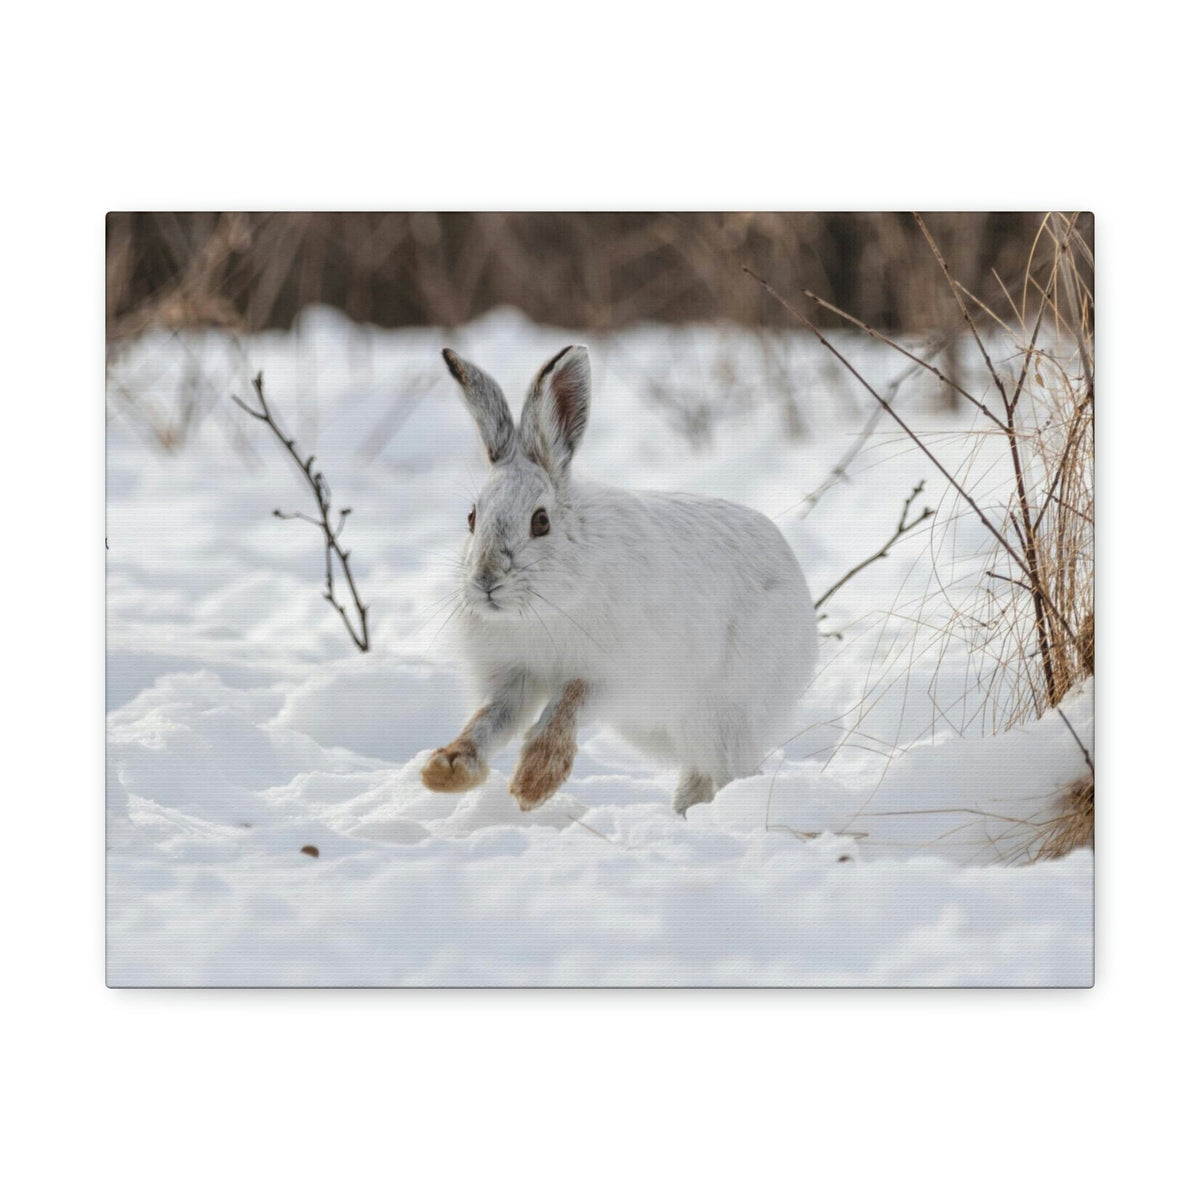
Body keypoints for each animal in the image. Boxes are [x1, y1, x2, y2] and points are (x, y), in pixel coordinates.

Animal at [420, 344, 819, 816]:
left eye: (541, 522)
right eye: (471, 518)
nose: (485, 581)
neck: (540, 608)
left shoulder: (612, 674)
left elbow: (566, 705)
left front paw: (534, 782)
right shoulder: (513, 678)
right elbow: (488, 720)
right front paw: (446, 769)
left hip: (724, 713)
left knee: (727, 770)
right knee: (701, 775)